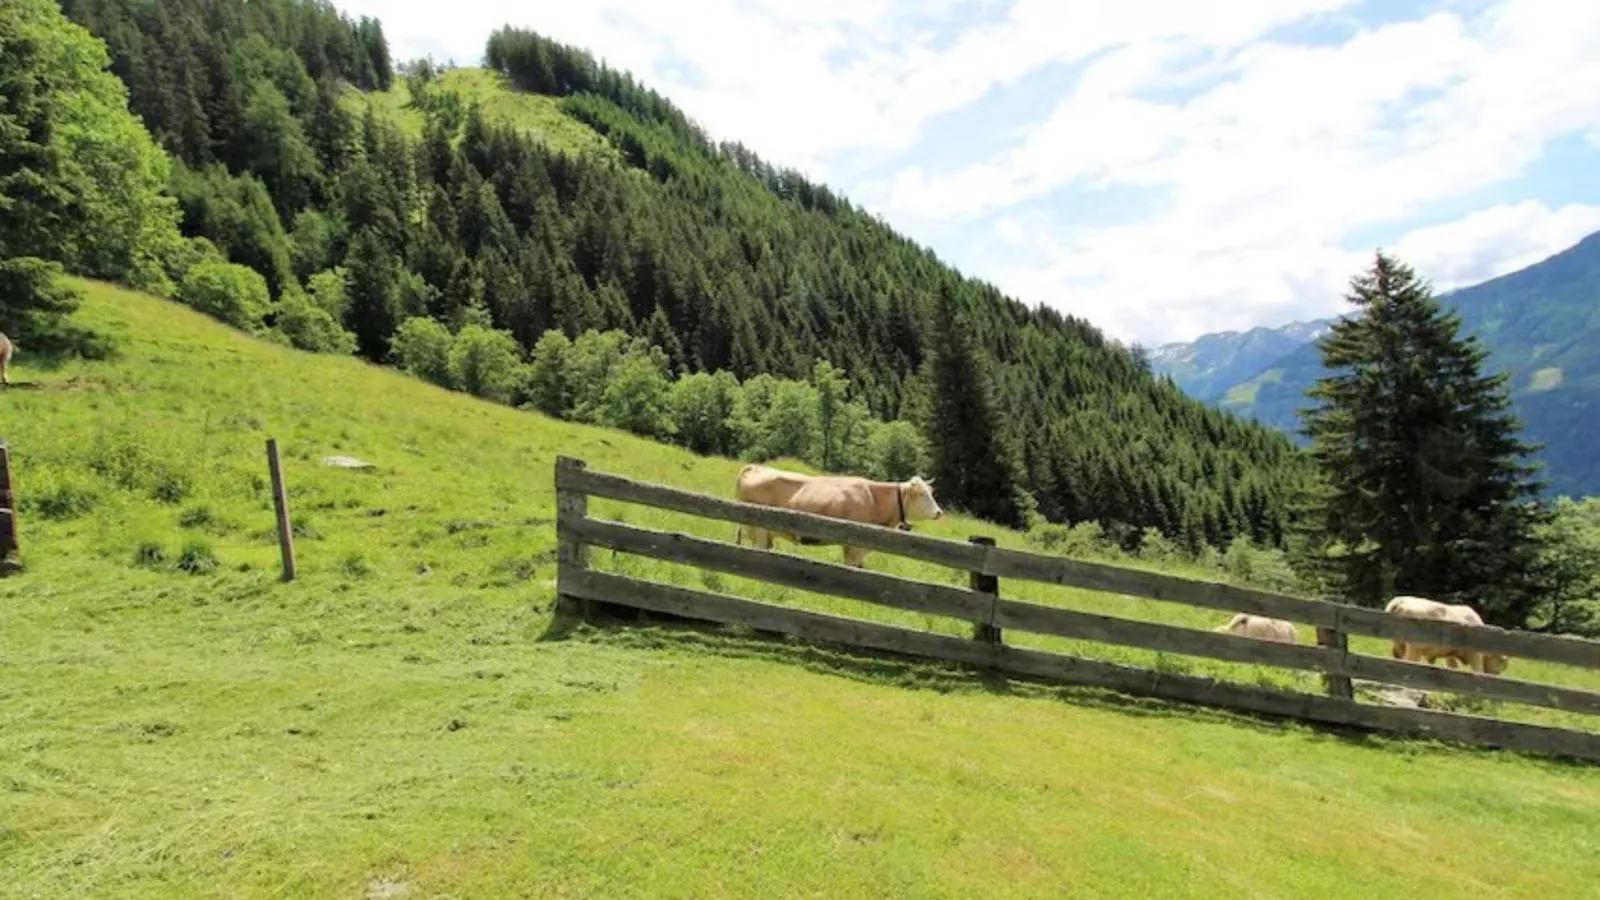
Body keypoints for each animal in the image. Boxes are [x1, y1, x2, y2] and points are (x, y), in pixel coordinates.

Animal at [732, 464, 940, 563]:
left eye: (931, 492)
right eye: (922, 494)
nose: (939, 512)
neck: (874, 498)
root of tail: (754, 467)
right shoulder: (855, 546)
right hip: (759, 530)